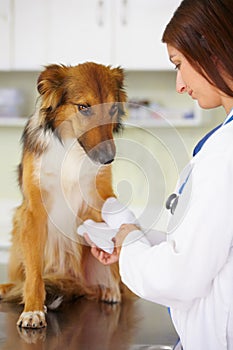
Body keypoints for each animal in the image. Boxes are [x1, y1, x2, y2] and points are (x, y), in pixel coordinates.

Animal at [0, 62, 131, 328]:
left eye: (113, 107)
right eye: (83, 107)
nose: (108, 159)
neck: (72, 147)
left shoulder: (100, 197)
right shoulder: (33, 210)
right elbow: (34, 272)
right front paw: (33, 309)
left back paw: (110, 290)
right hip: (18, 226)